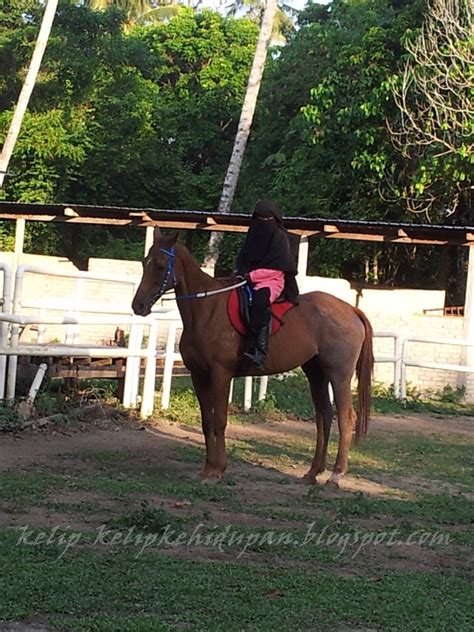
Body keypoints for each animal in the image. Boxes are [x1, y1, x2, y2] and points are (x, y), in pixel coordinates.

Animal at [131, 230, 372, 486]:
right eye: (144, 263)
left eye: (160, 266)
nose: (138, 306)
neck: (206, 310)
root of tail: (350, 310)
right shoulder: (199, 376)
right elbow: (207, 422)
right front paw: (207, 468)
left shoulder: (221, 374)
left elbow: (219, 421)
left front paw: (217, 468)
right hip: (316, 374)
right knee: (324, 417)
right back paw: (313, 472)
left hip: (339, 376)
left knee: (346, 418)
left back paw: (336, 475)